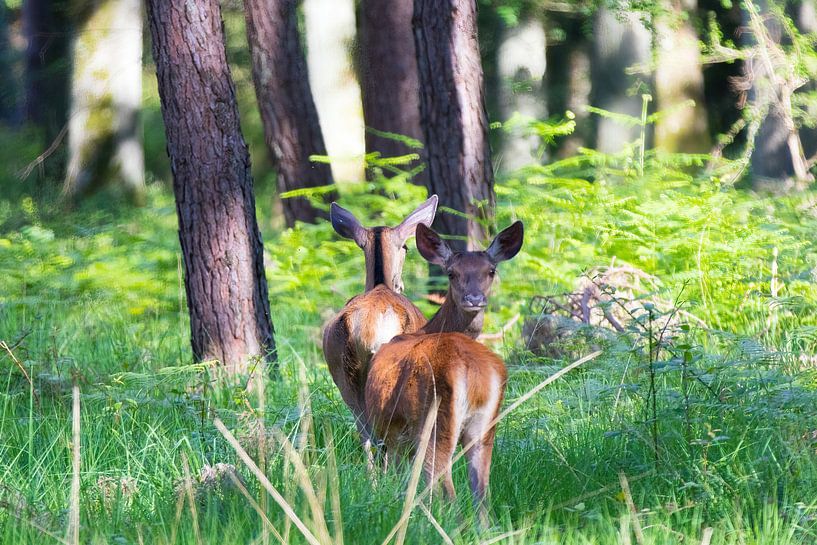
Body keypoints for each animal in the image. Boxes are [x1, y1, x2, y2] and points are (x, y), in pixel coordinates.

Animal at [364, 219, 524, 524]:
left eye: (491, 271)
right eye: (452, 273)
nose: (474, 298)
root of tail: (471, 372)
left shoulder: (393, 432)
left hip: (435, 420)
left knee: (443, 483)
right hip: (484, 428)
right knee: (481, 493)